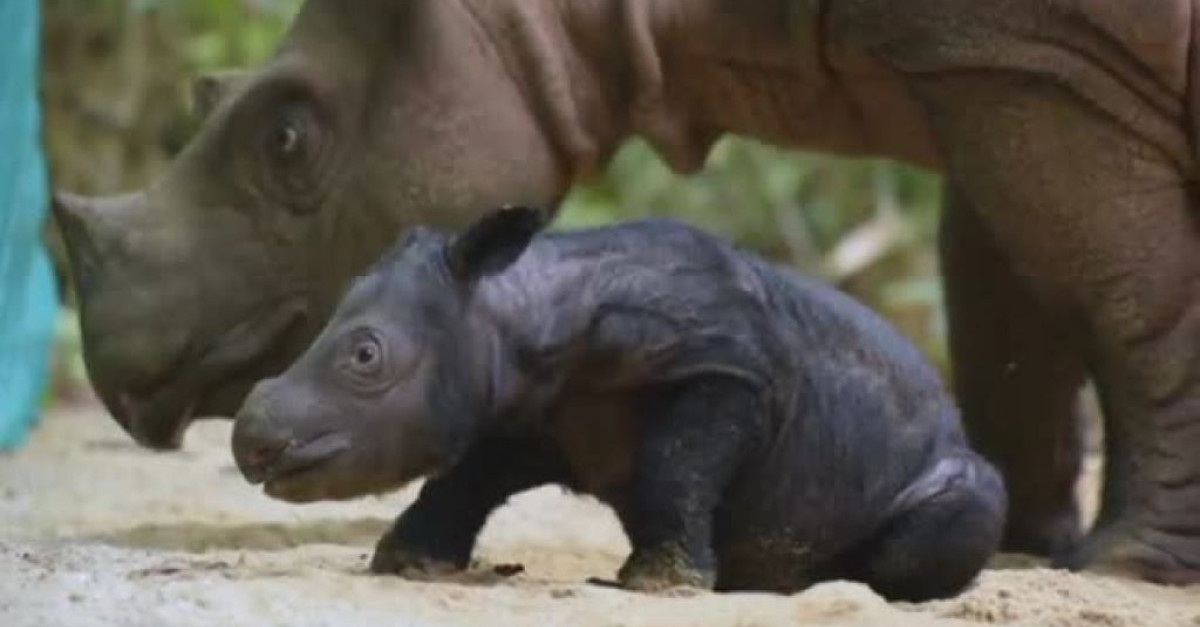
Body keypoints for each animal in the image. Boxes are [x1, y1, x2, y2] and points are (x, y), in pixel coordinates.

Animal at [230, 206, 1006, 601]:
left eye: (365, 357)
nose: (250, 442)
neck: (523, 305)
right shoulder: (530, 409)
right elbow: (463, 480)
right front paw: (407, 563)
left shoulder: (728, 373)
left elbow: (674, 466)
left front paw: (661, 584)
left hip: (938, 460)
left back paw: (814, 584)